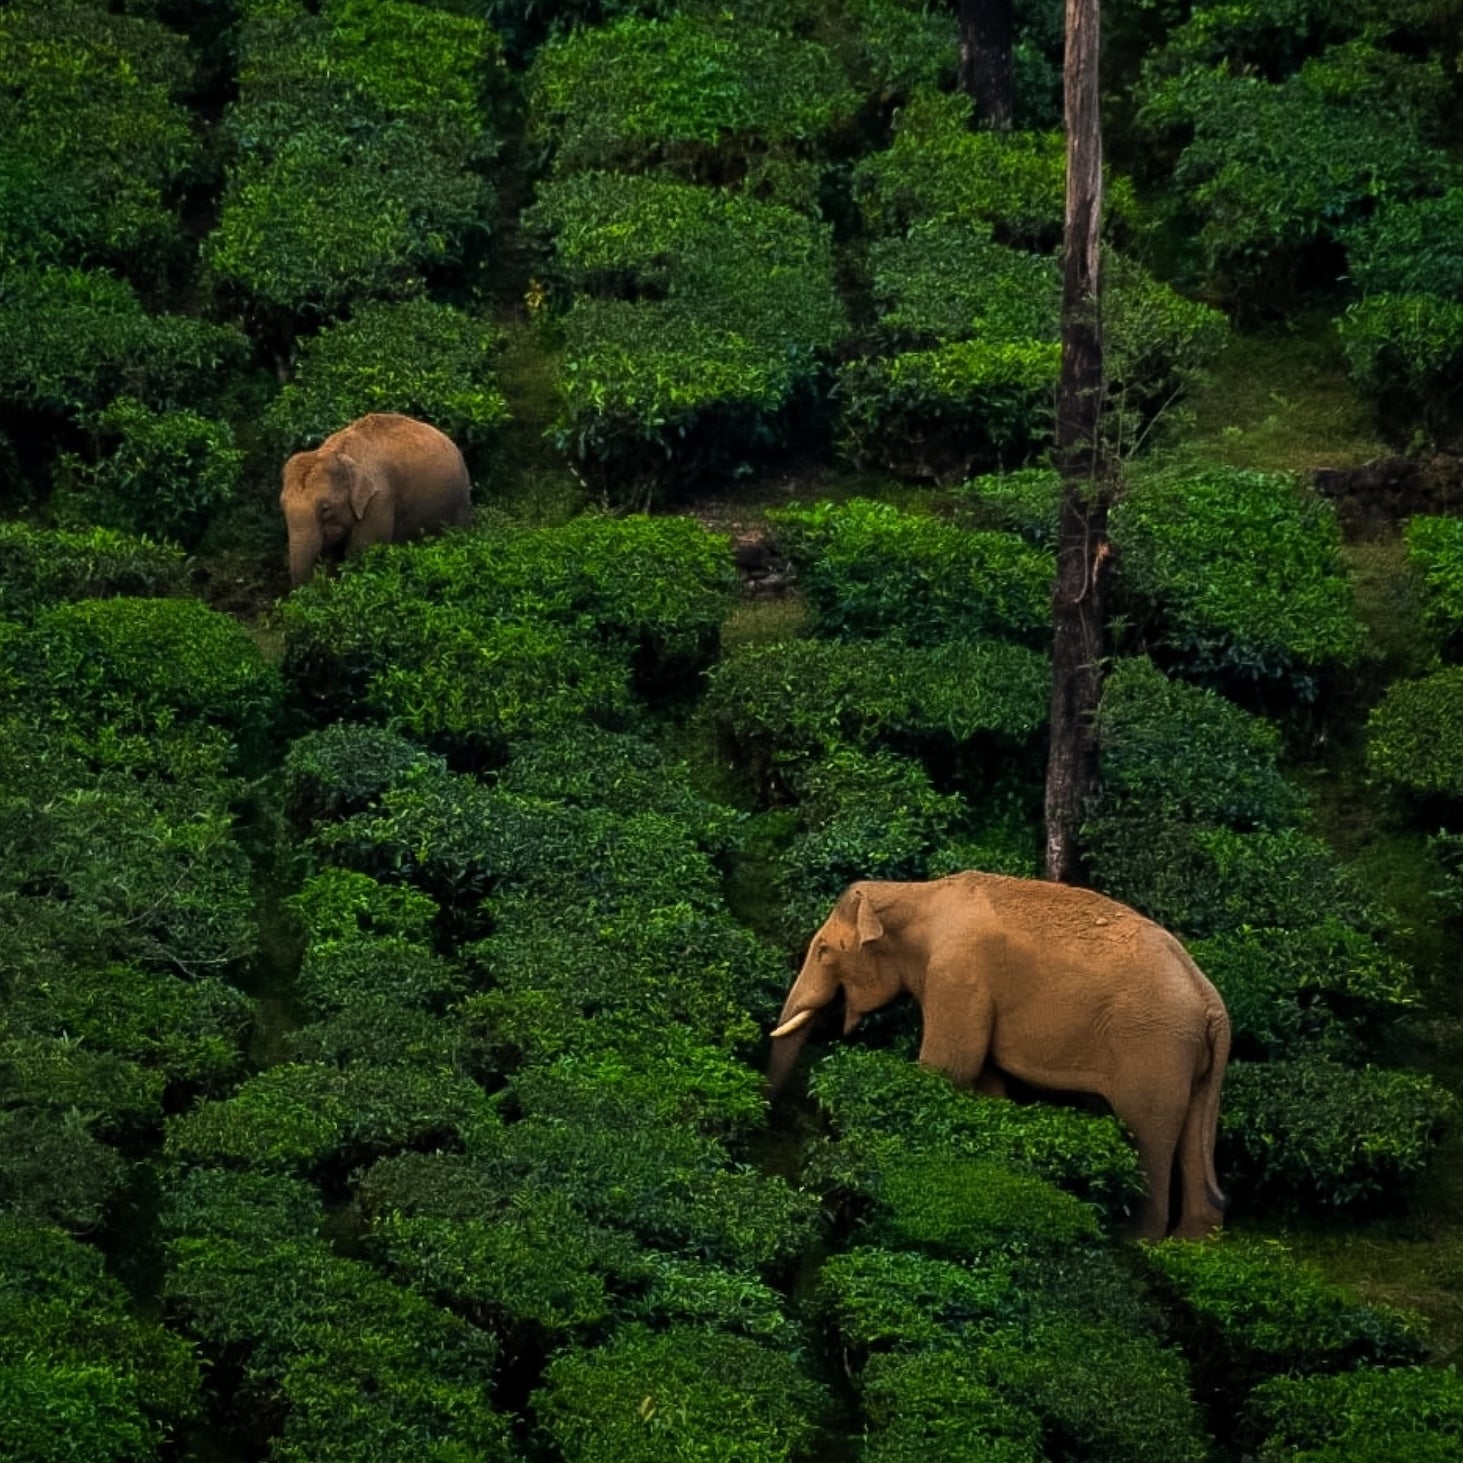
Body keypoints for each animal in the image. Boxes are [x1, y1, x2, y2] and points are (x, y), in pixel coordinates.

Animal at [280, 413, 471, 586]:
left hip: (460, 500)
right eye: (283, 507)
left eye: (325, 508)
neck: (337, 451)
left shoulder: (379, 500)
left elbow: (362, 552)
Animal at [768, 874, 1231, 1240]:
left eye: (824, 951)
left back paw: (1134, 1240)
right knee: (1192, 1135)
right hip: (1187, 1060)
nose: (769, 1115)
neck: (914, 892)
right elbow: (985, 1080)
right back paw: (1191, 1244)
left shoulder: (957, 970)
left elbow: (949, 1067)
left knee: (1146, 1133)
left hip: (1153, 1046)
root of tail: (1212, 1004)